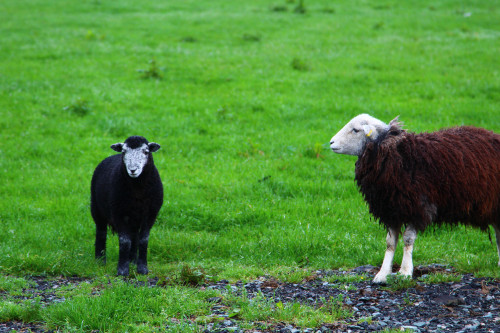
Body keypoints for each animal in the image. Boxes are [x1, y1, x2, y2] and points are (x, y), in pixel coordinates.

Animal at [90, 135, 164, 274]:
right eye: (124, 152)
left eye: (146, 152)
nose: (133, 170)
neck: (138, 190)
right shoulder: (118, 212)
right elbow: (124, 241)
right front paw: (122, 270)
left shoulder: (150, 214)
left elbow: (143, 240)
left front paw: (142, 269)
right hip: (96, 208)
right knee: (101, 232)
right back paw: (100, 261)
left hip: (134, 217)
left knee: (134, 236)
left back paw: (133, 261)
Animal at [330, 113, 498, 280]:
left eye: (356, 130)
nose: (331, 142)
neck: (395, 154)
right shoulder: (391, 208)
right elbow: (390, 242)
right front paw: (383, 273)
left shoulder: (417, 207)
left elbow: (408, 239)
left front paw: (405, 271)